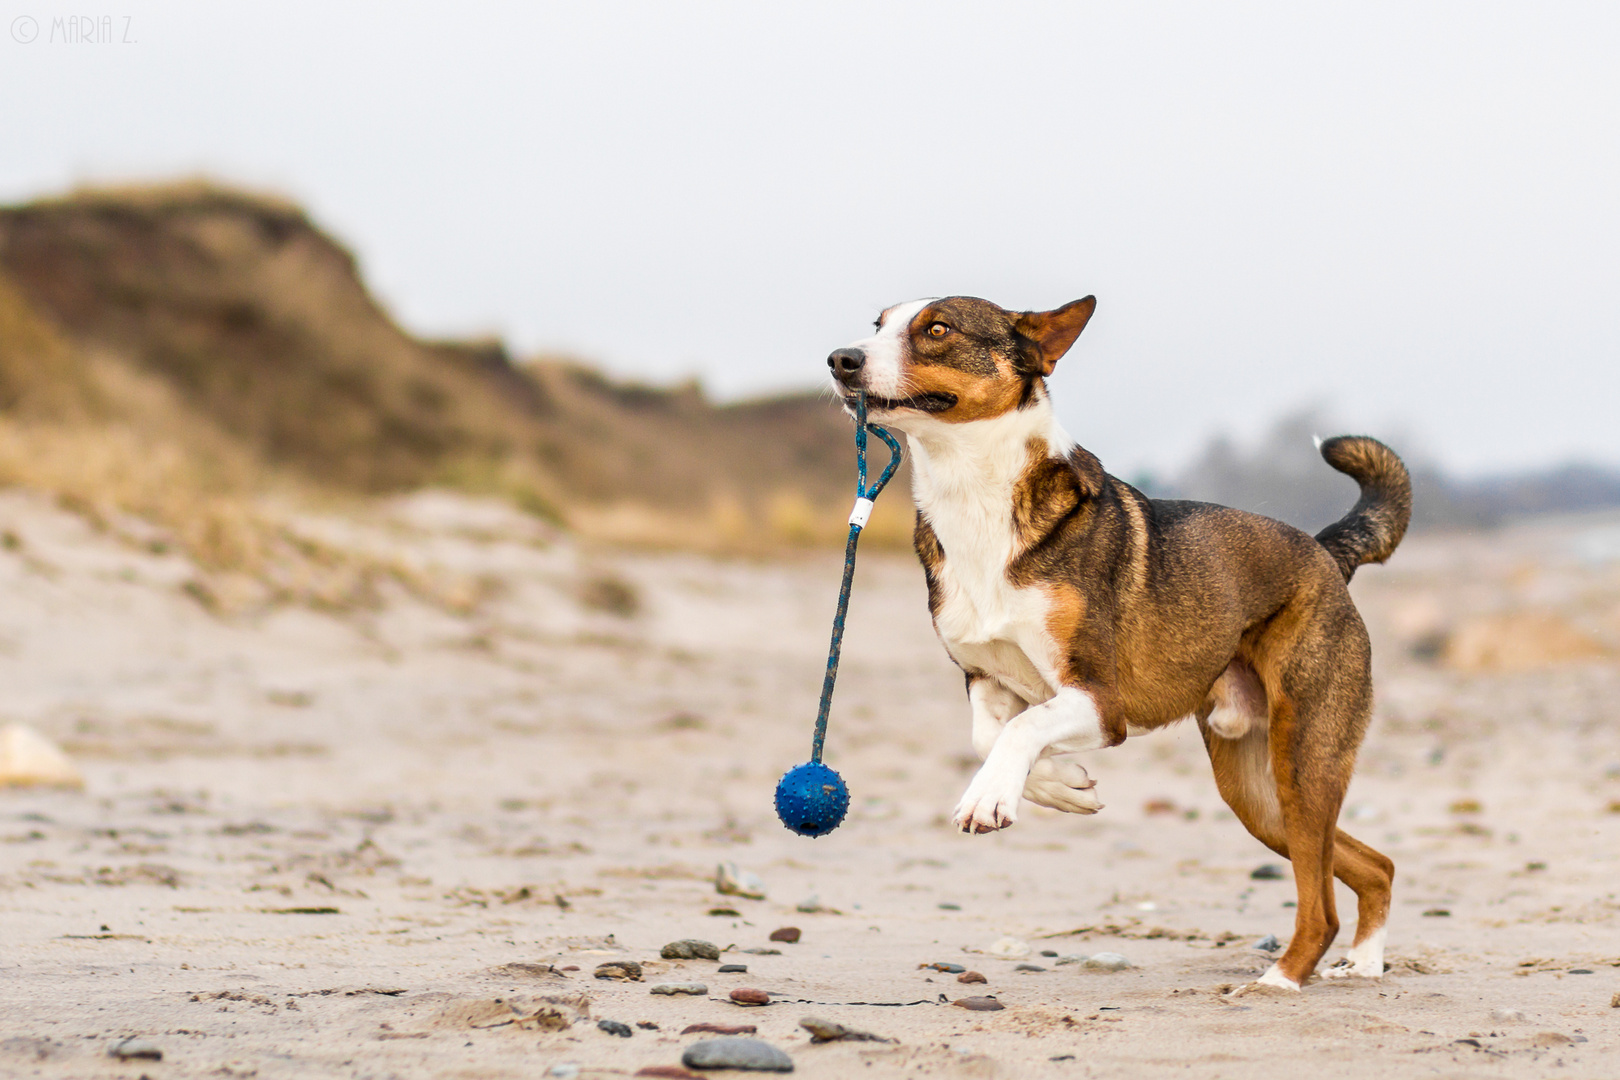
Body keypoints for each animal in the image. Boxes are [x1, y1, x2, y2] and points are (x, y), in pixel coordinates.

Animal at [829, 293, 1412, 990]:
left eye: (937, 329)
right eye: (877, 325)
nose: (839, 359)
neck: (973, 498)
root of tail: (1325, 552)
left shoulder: (1099, 701)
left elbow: (1023, 728)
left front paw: (991, 796)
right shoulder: (985, 677)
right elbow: (990, 736)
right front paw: (1061, 785)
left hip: (1303, 759)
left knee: (1320, 901)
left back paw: (1280, 980)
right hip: (1257, 796)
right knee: (1371, 865)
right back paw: (1367, 962)